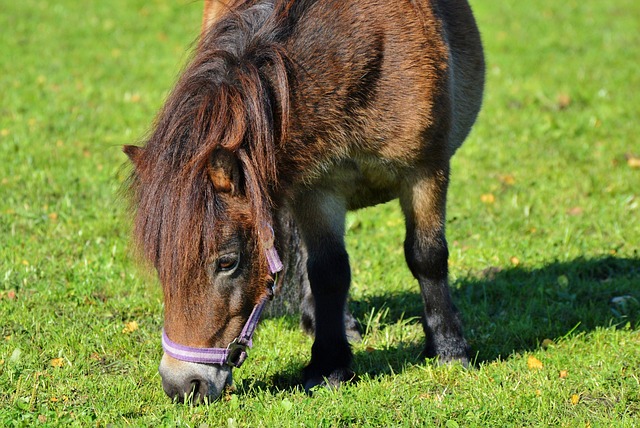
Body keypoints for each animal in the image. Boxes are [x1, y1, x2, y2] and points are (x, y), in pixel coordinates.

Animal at [124, 0, 484, 402]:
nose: (182, 385)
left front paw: (449, 349)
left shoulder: (425, 171)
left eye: (228, 262)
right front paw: (329, 365)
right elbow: (327, 271)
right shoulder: (317, 189)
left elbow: (427, 256)